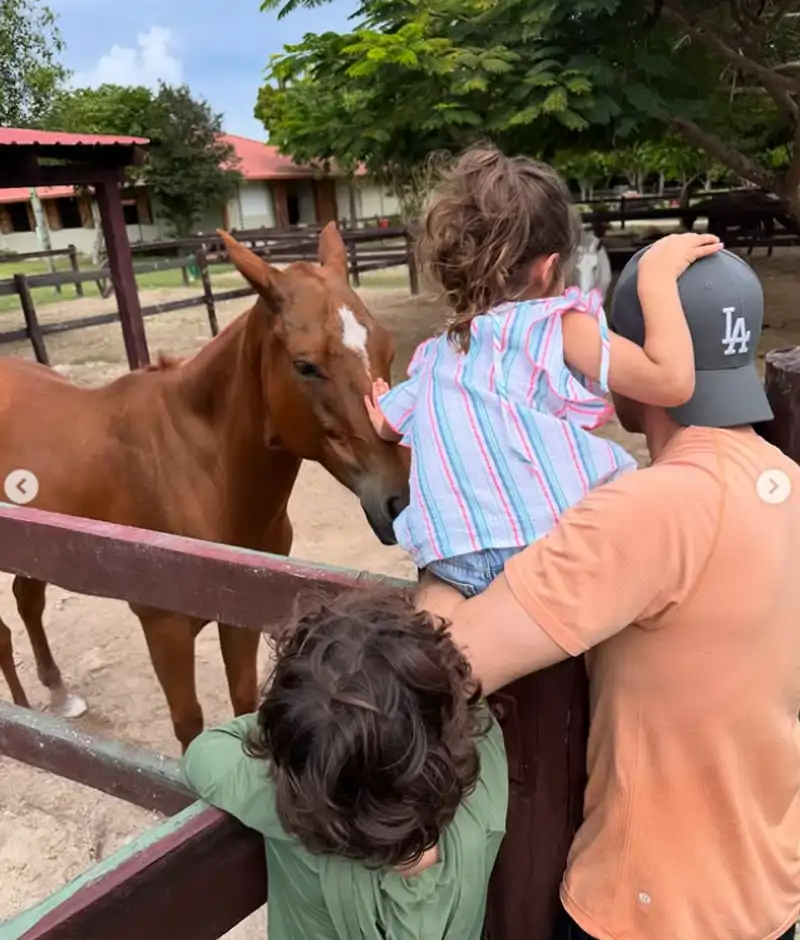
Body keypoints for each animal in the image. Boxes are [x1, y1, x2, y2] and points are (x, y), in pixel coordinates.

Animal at [0, 224, 410, 752]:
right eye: (305, 365)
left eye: (387, 347)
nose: (398, 499)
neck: (201, 470)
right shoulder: (165, 627)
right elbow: (189, 724)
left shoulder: (238, 611)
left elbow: (243, 701)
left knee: (27, 601)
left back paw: (58, 693)